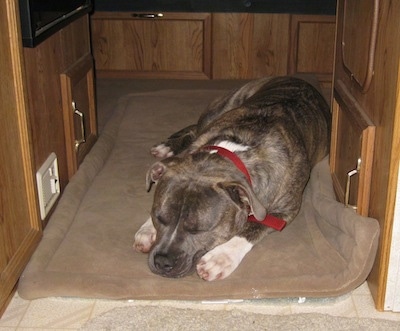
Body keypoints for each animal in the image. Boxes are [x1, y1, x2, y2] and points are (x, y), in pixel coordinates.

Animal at [133, 76, 330, 282]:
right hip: (221, 108)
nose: (162, 262)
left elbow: (252, 227)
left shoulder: (284, 211)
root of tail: (297, 78)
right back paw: (167, 146)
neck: (232, 152)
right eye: (159, 217)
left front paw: (221, 256)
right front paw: (148, 229)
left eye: (199, 230)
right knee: (194, 128)